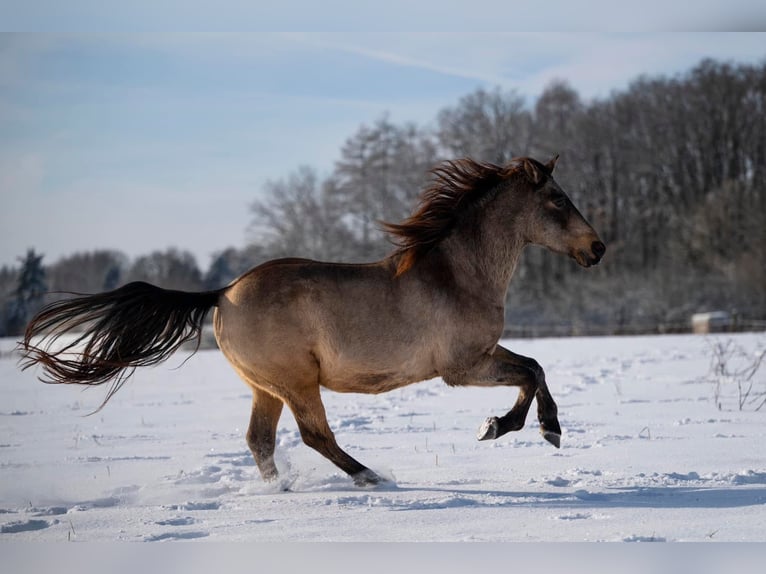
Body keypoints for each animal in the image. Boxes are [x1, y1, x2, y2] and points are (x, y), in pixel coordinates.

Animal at [21, 155, 605, 487]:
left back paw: (281, 490)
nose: (597, 248)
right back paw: (371, 477)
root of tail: (223, 293)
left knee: (260, 440)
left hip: (266, 387)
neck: (458, 272)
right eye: (558, 199)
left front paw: (533, 428)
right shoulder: (461, 367)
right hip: (297, 381)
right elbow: (530, 372)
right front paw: (516, 428)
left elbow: (536, 367)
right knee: (313, 434)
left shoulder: (481, 356)